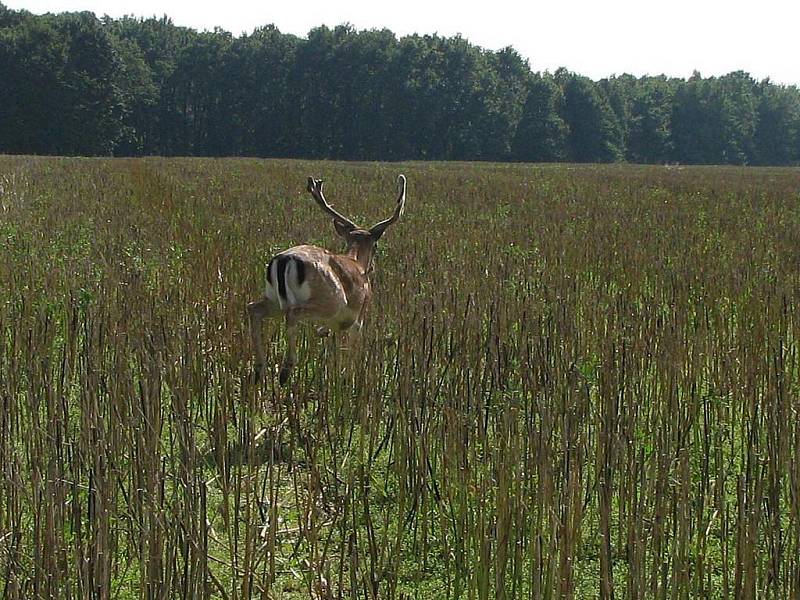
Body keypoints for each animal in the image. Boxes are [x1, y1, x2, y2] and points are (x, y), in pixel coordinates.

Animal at [247, 173, 406, 384]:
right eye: (376, 246)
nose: (372, 267)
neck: (357, 262)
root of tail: (283, 260)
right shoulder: (358, 315)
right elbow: (351, 347)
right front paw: (349, 377)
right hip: (331, 299)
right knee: (292, 314)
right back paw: (286, 370)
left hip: (274, 299)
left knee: (253, 309)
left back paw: (259, 368)